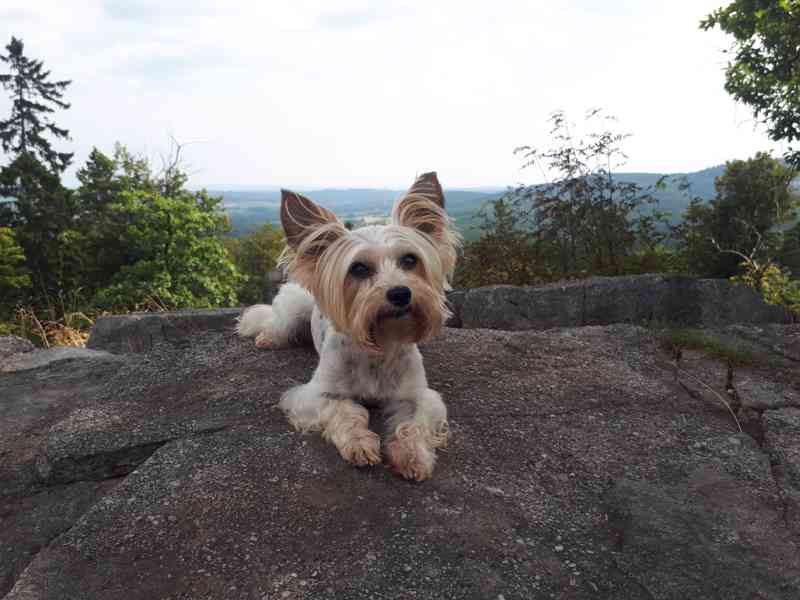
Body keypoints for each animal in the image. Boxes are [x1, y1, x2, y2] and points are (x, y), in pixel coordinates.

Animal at [238, 171, 460, 480]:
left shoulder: (419, 396)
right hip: (293, 309)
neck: (378, 345)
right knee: (276, 322)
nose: (400, 293)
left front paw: (412, 455)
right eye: (358, 268)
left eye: (410, 260)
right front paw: (359, 443)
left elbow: (414, 423)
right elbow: (345, 410)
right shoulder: (314, 395)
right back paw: (267, 338)